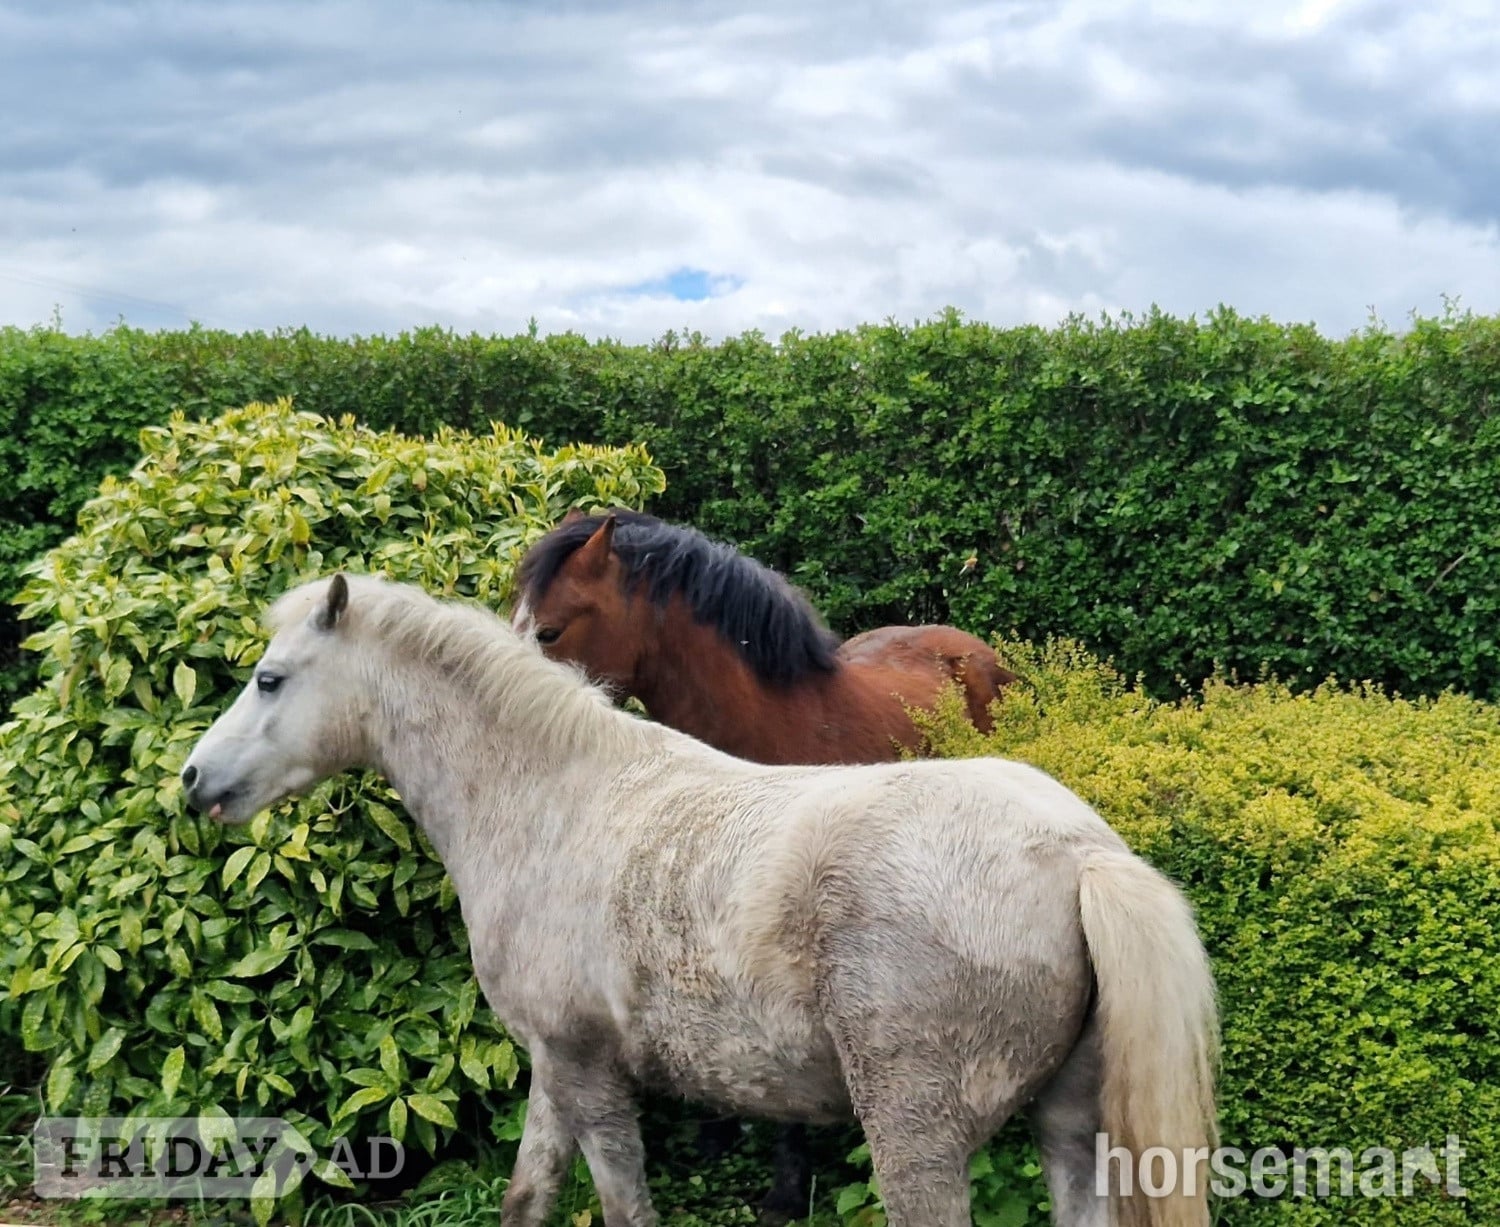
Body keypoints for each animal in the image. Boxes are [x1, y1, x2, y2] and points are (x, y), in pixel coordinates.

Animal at [182, 573, 1219, 1227]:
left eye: (269, 679)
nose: (193, 780)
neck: (555, 795)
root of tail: (1080, 856)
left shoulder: (591, 1075)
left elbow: (623, 1205)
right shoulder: (557, 1064)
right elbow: (528, 1196)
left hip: (916, 1140)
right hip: (1069, 1130)